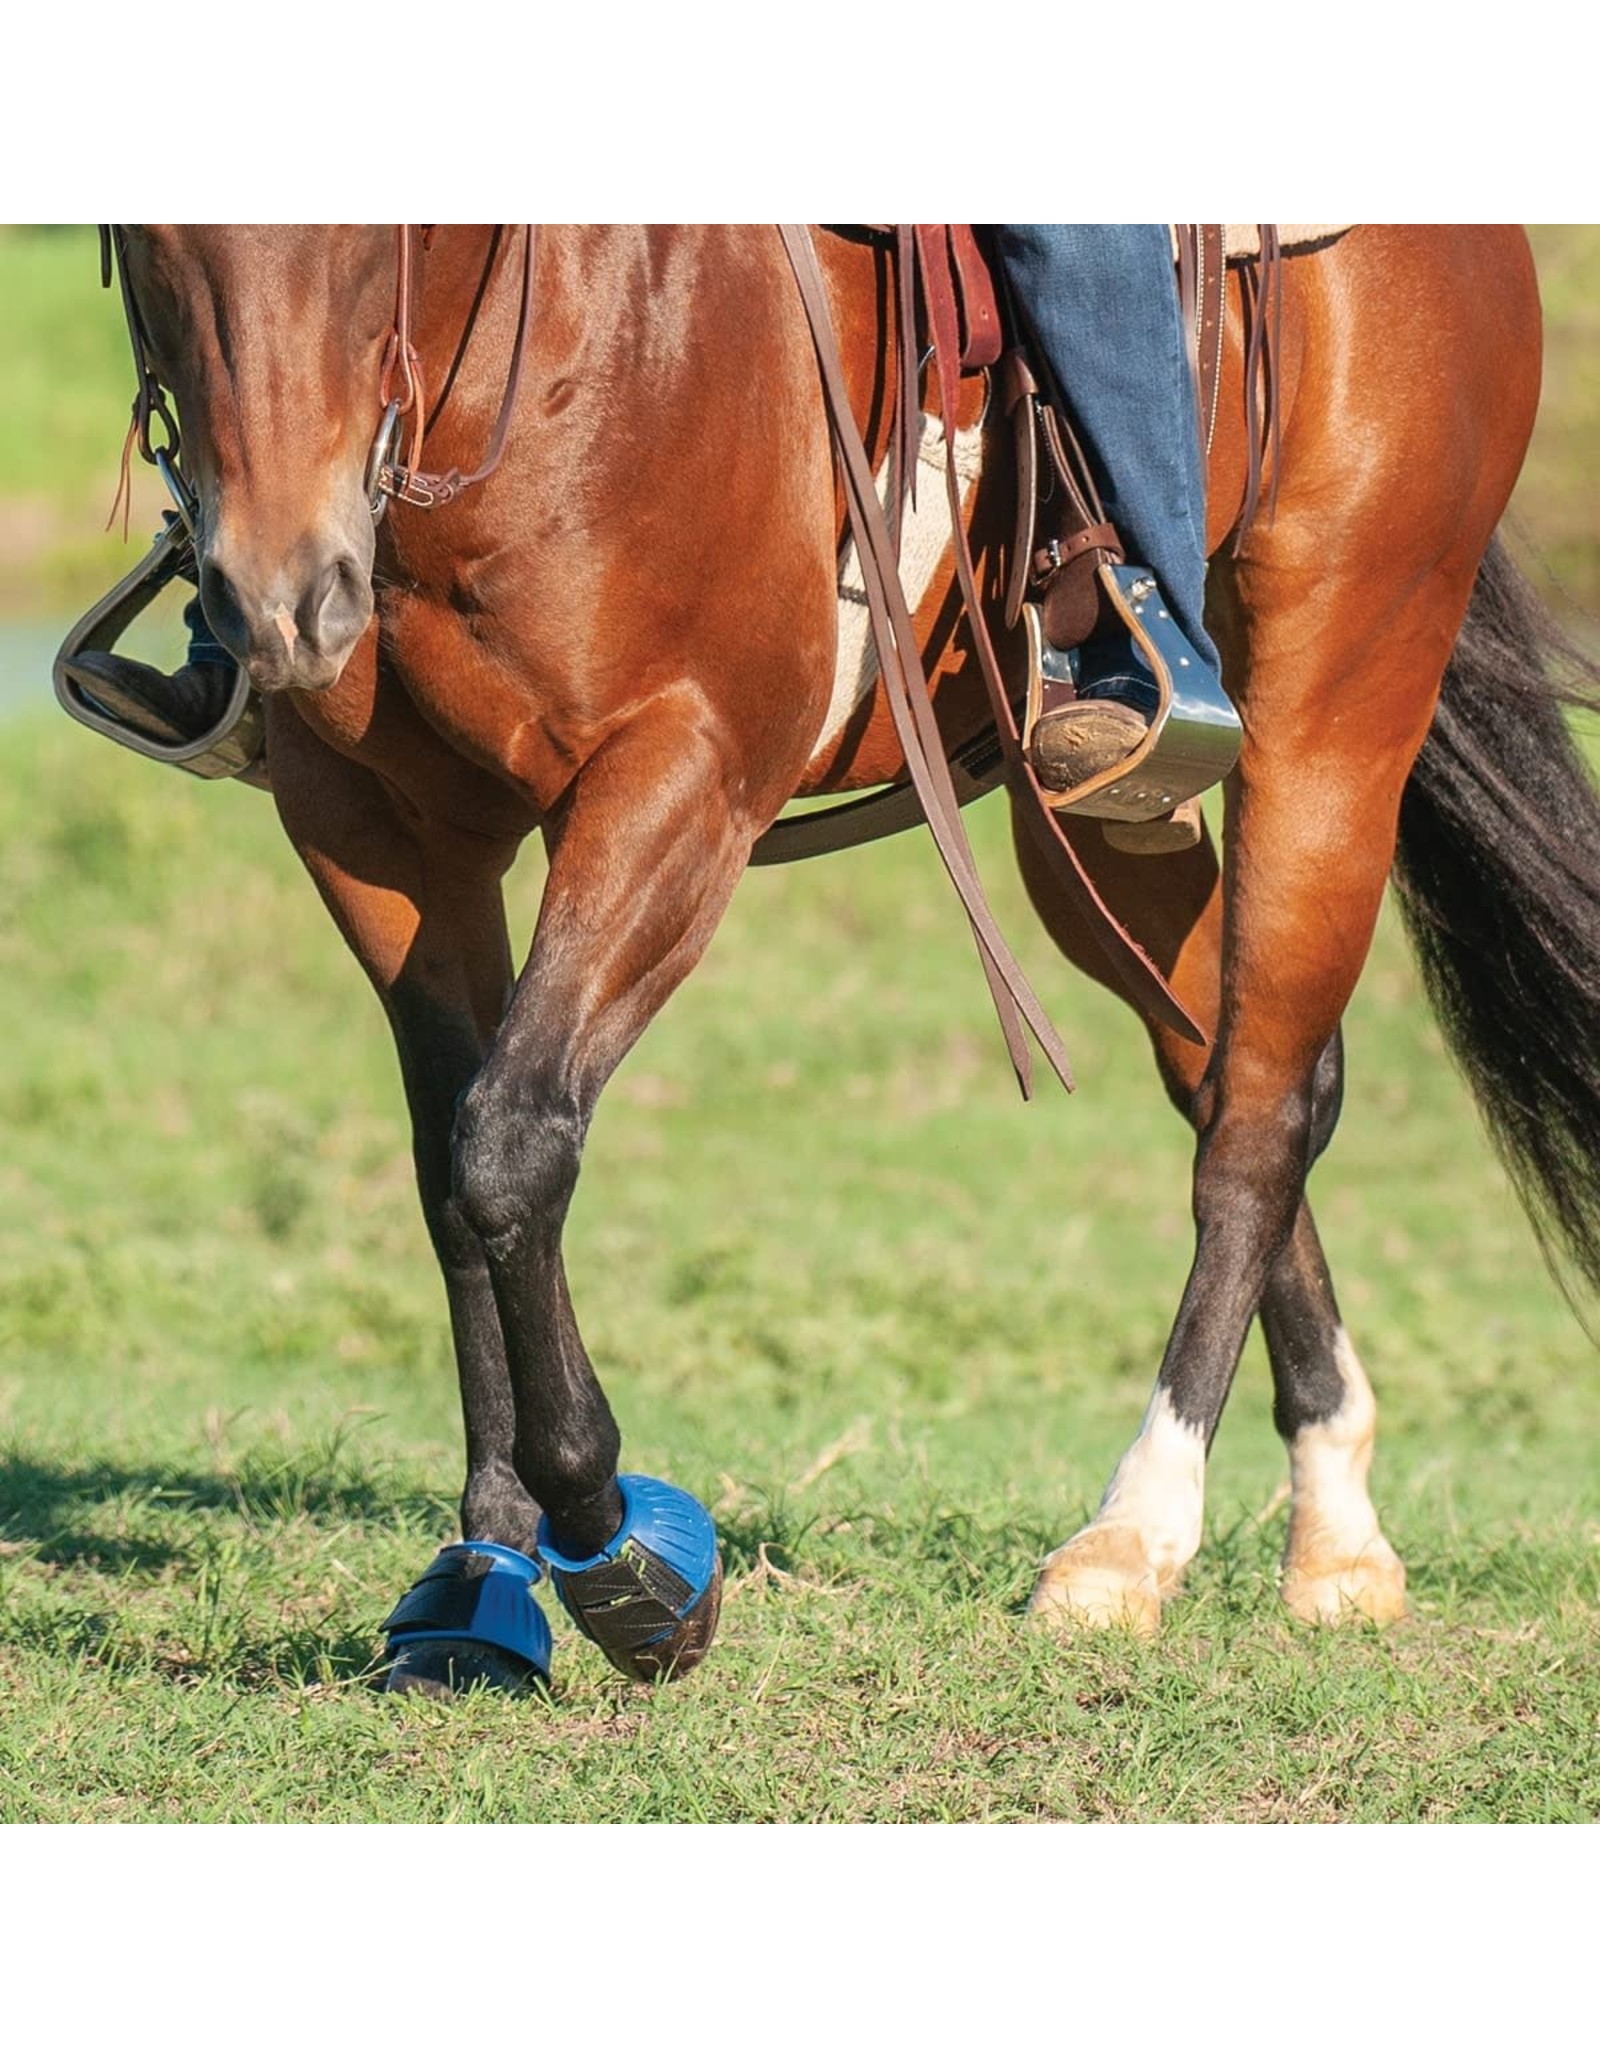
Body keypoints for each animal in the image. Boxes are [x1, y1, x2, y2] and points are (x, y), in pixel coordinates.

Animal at [102, 228, 1581, 1695]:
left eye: (367, 243)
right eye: (153, 244)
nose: (283, 597)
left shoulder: (680, 775)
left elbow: (508, 1144)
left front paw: (624, 1558)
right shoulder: (372, 825)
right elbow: (449, 1175)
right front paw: (481, 1574)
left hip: (1342, 686)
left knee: (1259, 1118)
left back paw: (1131, 1540)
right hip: (1092, 810)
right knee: (1247, 1068)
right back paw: (1339, 1526)